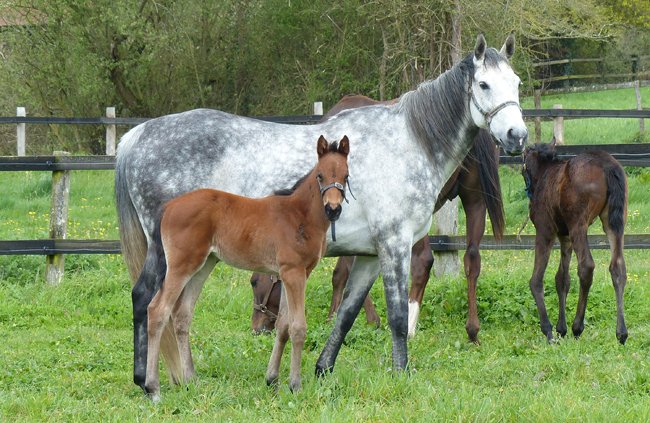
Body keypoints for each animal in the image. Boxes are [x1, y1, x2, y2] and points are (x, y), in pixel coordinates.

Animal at [139, 135, 350, 400]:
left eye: (346, 175)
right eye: (320, 175)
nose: (333, 209)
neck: (299, 216)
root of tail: (168, 207)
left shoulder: (292, 274)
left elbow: (282, 326)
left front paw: (272, 379)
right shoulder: (294, 272)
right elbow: (298, 327)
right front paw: (295, 385)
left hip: (203, 266)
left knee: (182, 315)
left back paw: (191, 380)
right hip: (181, 265)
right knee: (158, 310)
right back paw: (153, 387)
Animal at [251, 95, 505, 343]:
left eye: (254, 282)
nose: (257, 328)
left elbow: (344, 272)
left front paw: (346, 318)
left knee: (423, 261)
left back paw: (409, 325)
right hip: (475, 200)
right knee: (472, 259)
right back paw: (472, 330)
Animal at [522, 139, 628, 344]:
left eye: (524, 170)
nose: (529, 192)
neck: (544, 173)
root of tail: (608, 166)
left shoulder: (545, 229)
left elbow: (536, 279)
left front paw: (548, 330)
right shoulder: (565, 236)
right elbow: (562, 278)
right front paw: (560, 328)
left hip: (578, 222)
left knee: (586, 266)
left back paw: (577, 327)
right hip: (614, 221)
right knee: (617, 267)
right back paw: (621, 333)